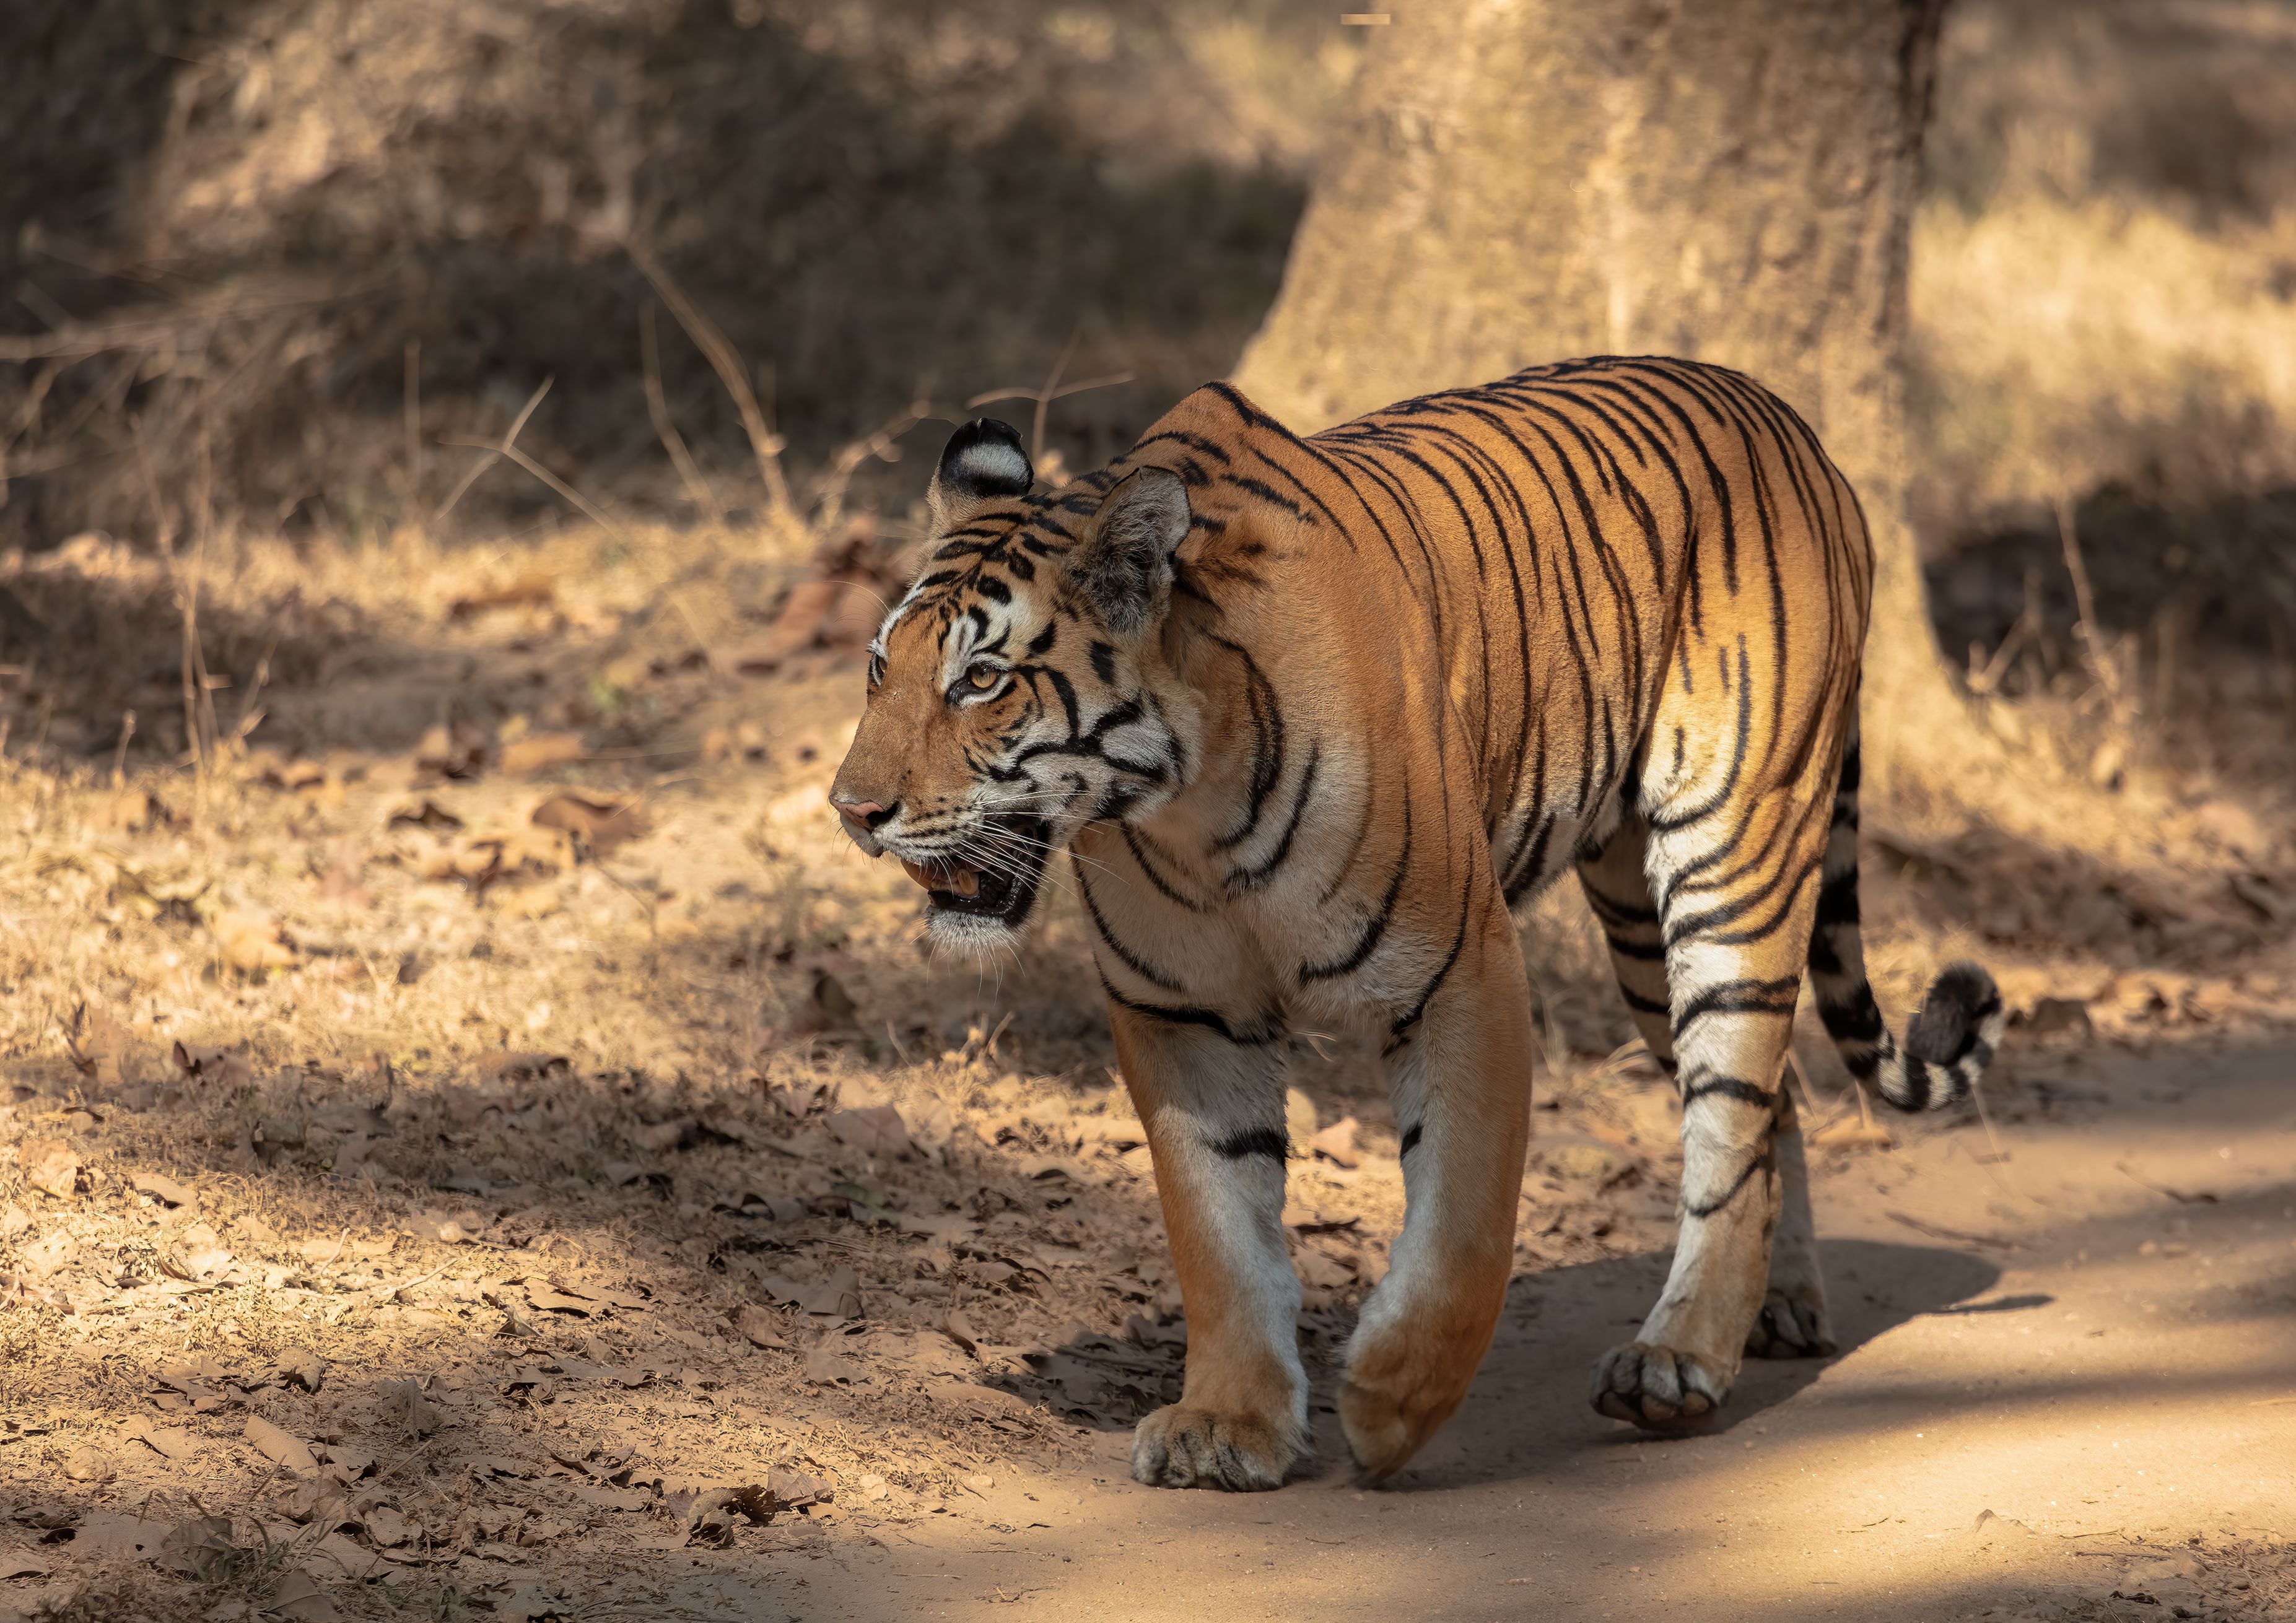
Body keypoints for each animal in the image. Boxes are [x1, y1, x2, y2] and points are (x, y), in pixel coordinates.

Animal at [829, 356, 2004, 1491]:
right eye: (881, 667)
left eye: (982, 680)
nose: (851, 811)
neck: (1184, 809)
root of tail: (1783, 418)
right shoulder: (1183, 1014)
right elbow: (1218, 1229)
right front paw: (1227, 1424)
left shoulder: (1460, 973)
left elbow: (1463, 1228)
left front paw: (1391, 1404)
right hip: (1636, 918)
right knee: (1771, 1102)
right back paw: (1777, 1307)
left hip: (1730, 856)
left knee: (1730, 1102)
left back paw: (1679, 1360)